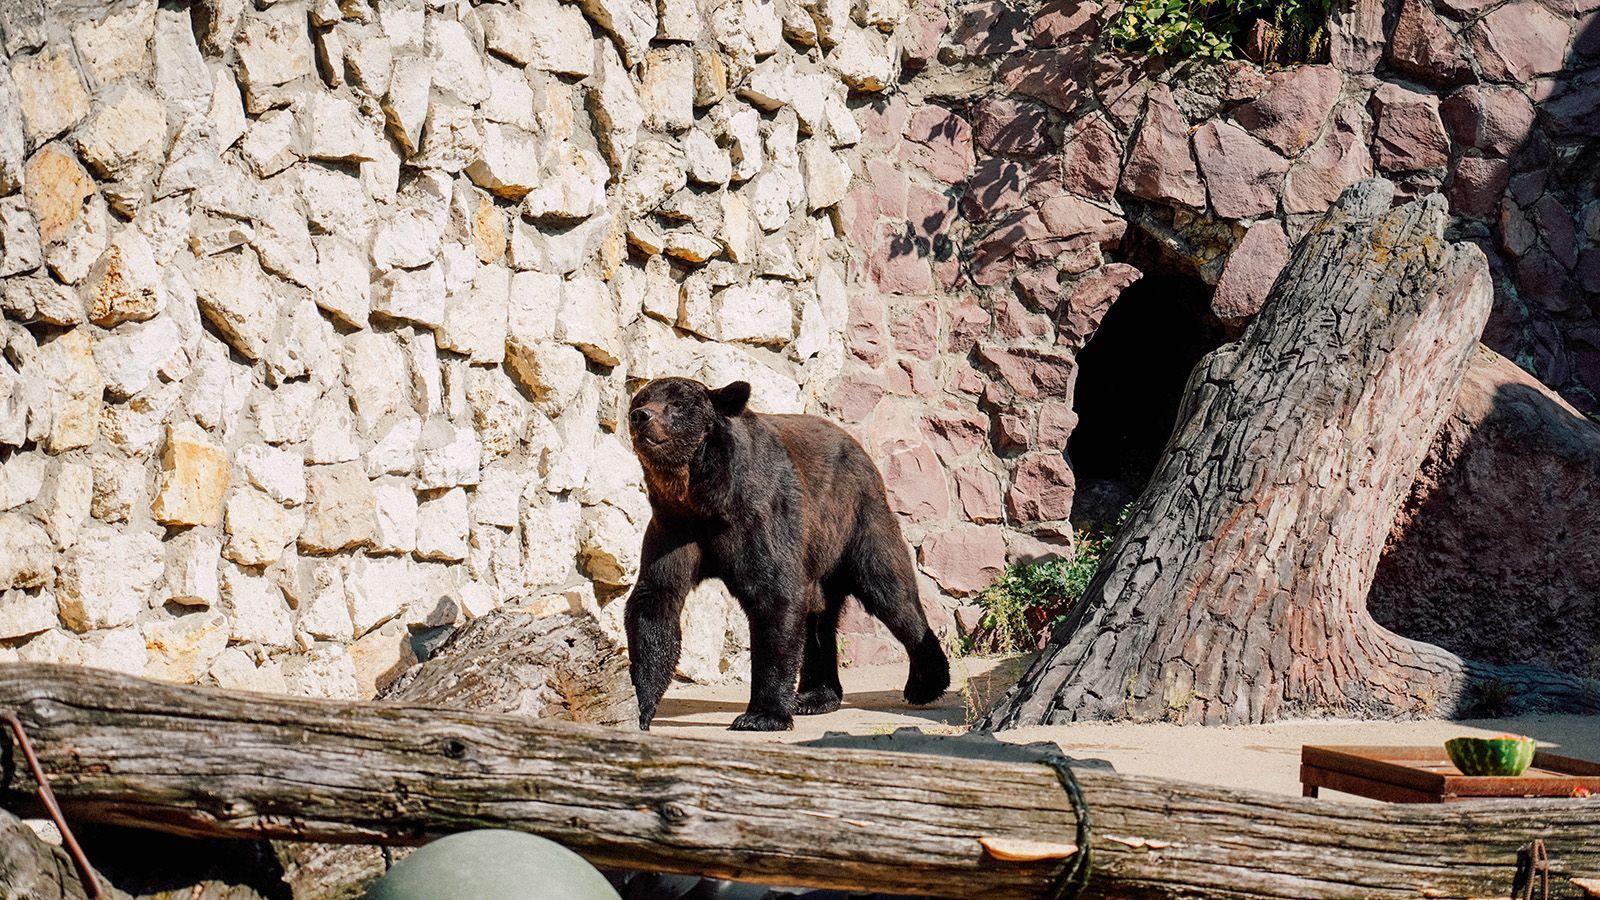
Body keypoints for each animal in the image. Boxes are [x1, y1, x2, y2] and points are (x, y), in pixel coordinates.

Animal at [624, 374, 947, 723]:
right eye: (641, 399)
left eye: (677, 405)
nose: (642, 416)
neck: (705, 497)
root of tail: (859, 447)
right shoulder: (674, 526)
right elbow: (655, 599)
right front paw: (641, 706)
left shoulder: (758, 516)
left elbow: (775, 594)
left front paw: (761, 715)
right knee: (819, 617)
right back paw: (815, 696)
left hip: (855, 518)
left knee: (889, 588)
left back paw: (926, 682)